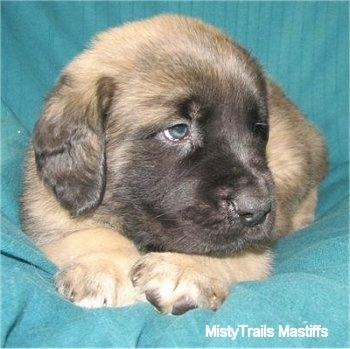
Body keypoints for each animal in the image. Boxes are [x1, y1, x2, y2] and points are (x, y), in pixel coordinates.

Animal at [21, 14, 328, 312]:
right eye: (178, 130)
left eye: (258, 130)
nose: (258, 208)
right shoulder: (50, 210)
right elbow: (89, 232)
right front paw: (105, 266)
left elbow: (220, 247)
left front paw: (186, 268)